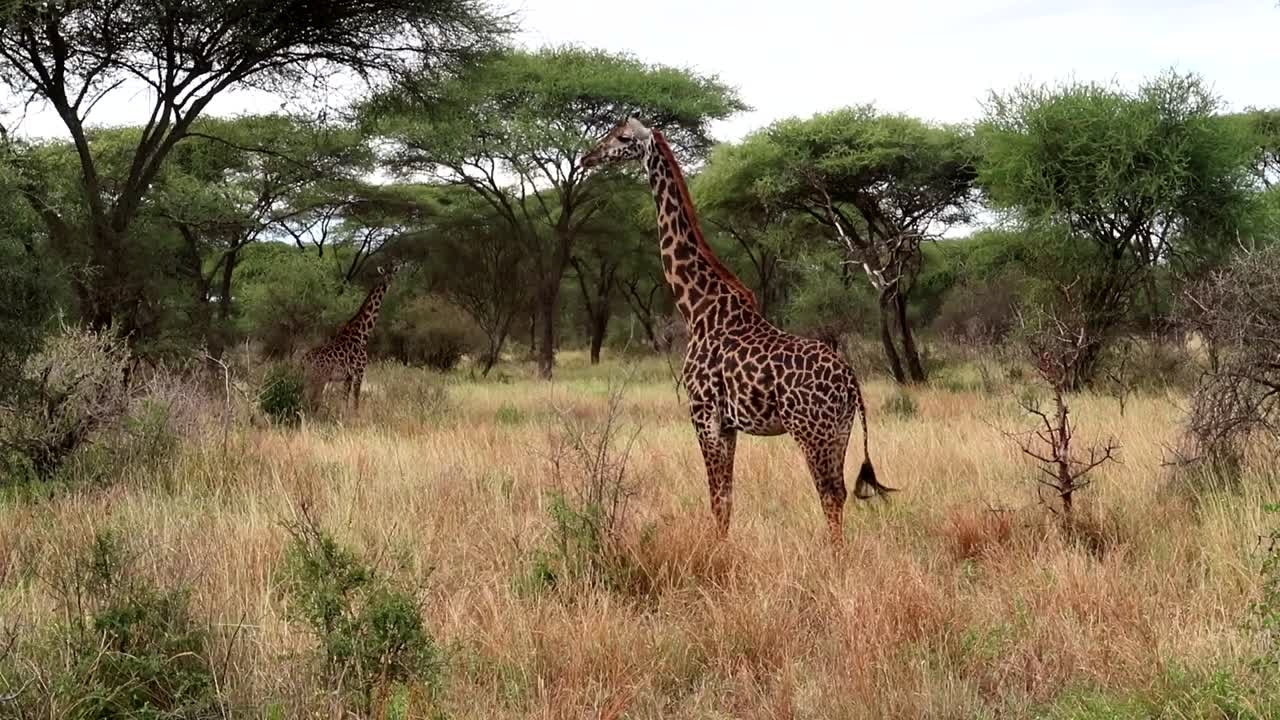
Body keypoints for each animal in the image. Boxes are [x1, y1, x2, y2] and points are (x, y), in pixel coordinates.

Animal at [301, 264, 399, 413]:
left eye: (394, 274)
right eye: (385, 275)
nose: (389, 283)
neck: (362, 334)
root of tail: (302, 360)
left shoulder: (347, 377)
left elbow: (345, 400)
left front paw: (343, 416)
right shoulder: (359, 372)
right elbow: (355, 401)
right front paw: (355, 416)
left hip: (310, 379)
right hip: (319, 378)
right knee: (311, 401)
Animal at [582, 118, 896, 548]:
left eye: (623, 138)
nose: (587, 156)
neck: (697, 307)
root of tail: (851, 381)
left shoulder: (703, 413)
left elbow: (718, 499)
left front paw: (718, 556)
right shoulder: (729, 424)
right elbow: (727, 499)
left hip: (811, 430)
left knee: (829, 494)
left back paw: (836, 560)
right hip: (839, 431)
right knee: (840, 492)